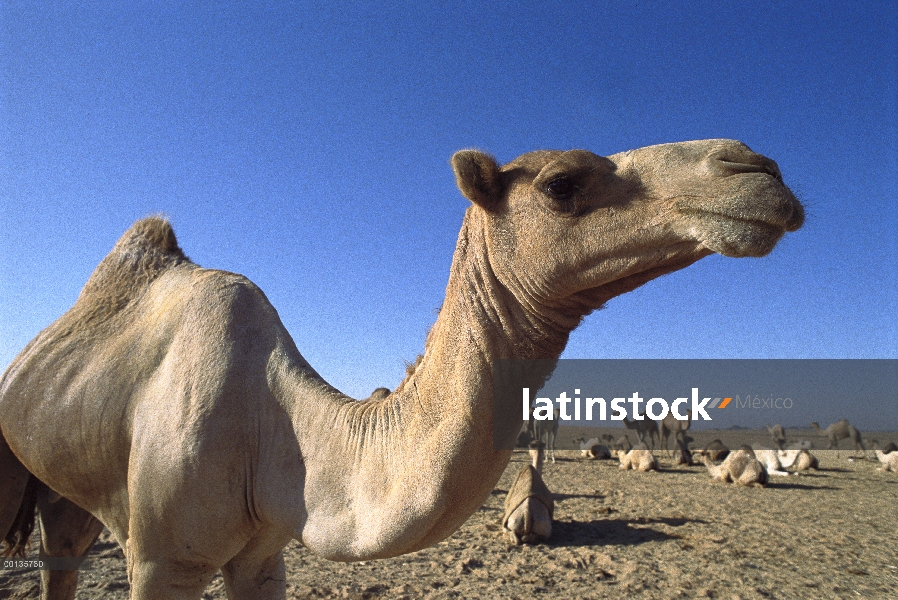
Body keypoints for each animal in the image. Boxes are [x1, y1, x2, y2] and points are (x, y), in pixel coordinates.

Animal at [0, 142, 800, 600]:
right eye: (561, 183)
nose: (756, 168)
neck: (275, 432)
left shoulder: (263, 558)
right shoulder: (161, 563)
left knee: (65, 546)